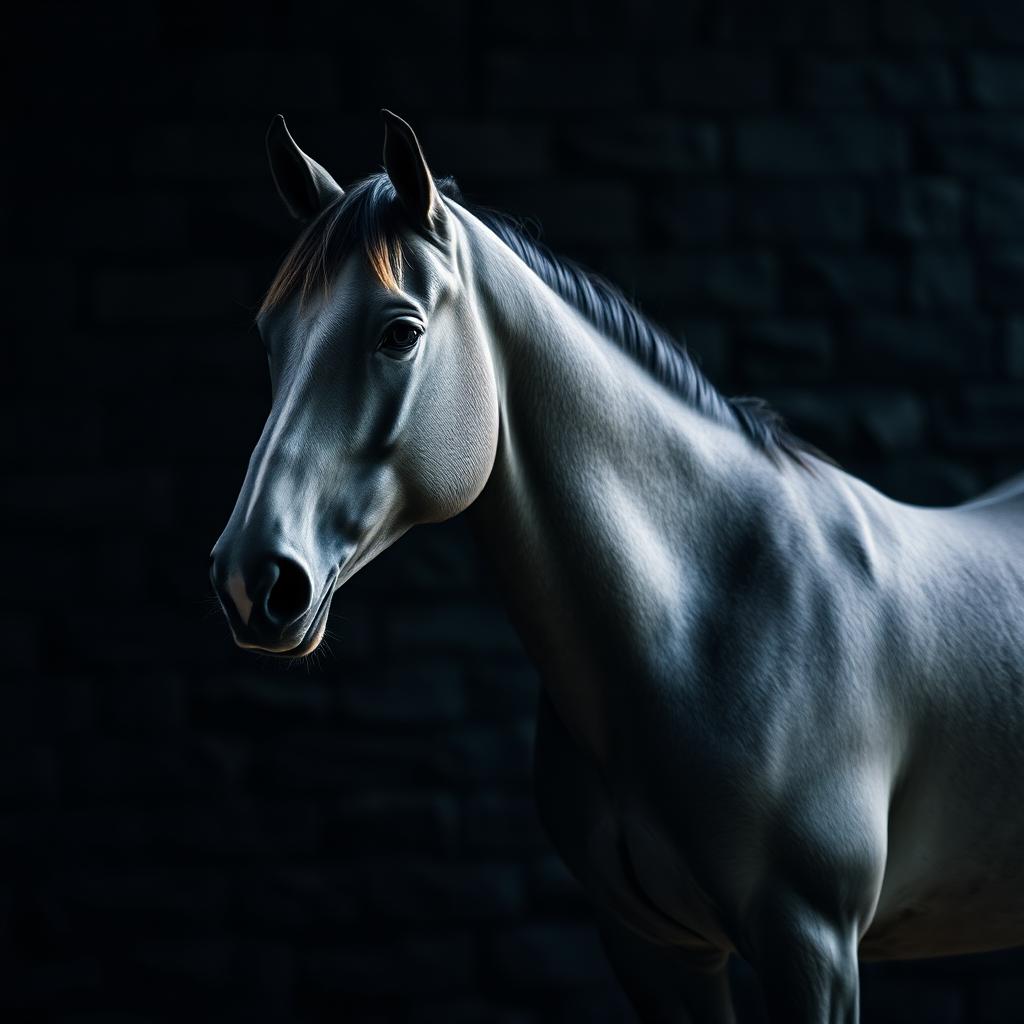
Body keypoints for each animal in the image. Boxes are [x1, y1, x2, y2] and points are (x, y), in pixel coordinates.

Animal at [210, 111, 1024, 1023]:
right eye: (271, 335)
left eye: (400, 332)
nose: (252, 578)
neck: (707, 623)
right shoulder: (654, 949)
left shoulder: (813, 949)